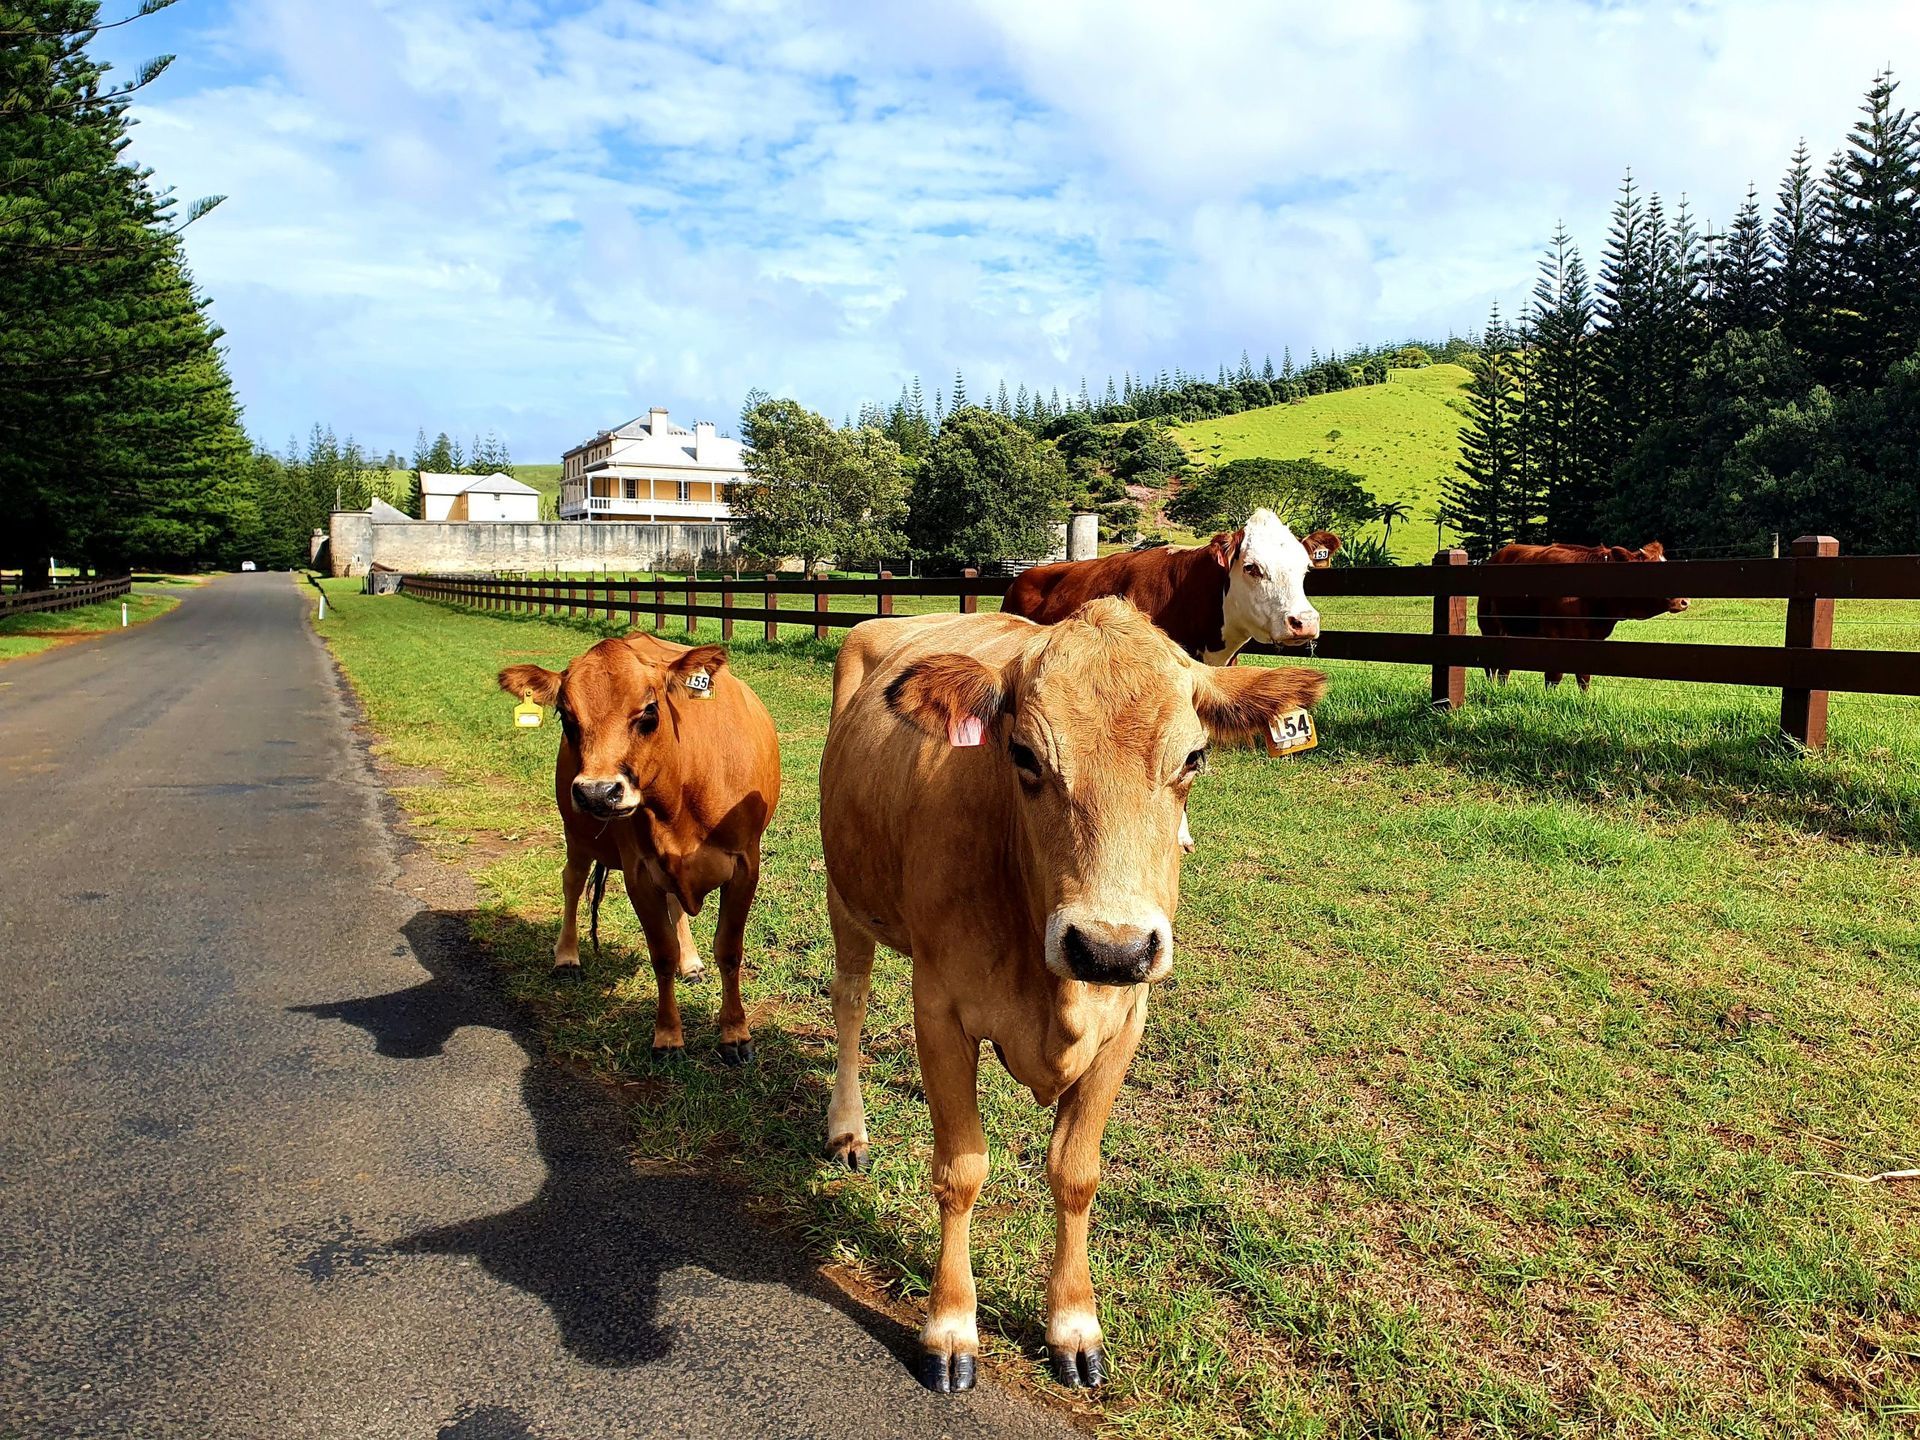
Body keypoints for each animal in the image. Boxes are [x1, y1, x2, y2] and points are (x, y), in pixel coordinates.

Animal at [498, 632, 780, 1065]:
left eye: (649, 710)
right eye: (566, 716)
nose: (597, 792)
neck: (681, 792)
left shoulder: (746, 864)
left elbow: (729, 951)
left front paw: (735, 1033)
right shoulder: (639, 873)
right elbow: (660, 953)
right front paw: (668, 1036)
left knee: (674, 904)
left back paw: (691, 962)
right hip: (577, 834)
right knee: (572, 882)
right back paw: (567, 956)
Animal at [817, 598, 1327, 1394]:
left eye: (1194, 758)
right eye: (1024, 755)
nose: (1111, 947)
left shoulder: (1126, 1020)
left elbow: (1076, 1173)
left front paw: (1074, 1323)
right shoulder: (939, 1008)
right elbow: (960, 1169)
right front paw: (950, 1327)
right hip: (847, 898)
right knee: (850, 1004)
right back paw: (847, 1129)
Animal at [1477, 540, 1690, 691]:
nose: (1684, 601)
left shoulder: (1590, 640)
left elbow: (1584, 676)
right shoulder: (1555, 636)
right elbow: (1554, 676)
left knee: (1504, 667)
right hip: (1489, 627)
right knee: (1491, 667)